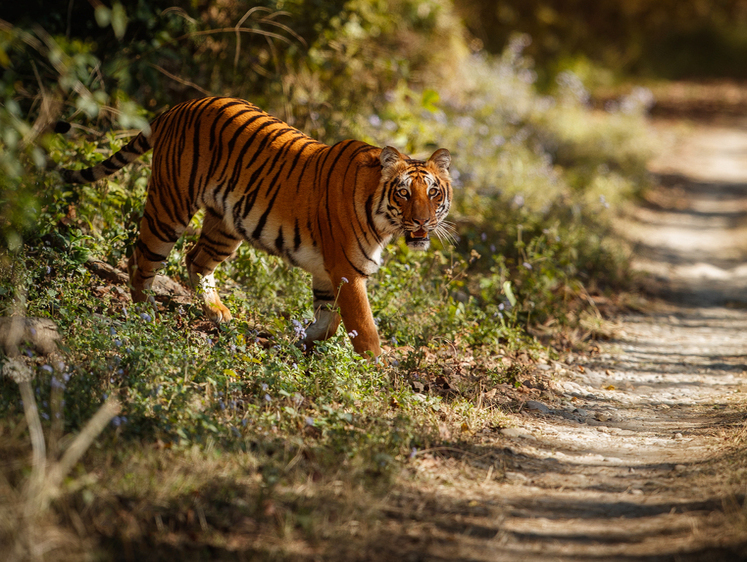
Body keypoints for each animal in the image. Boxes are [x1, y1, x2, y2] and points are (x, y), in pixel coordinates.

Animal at [58, 95, 452, 354]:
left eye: (433, 193)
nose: (423, 220)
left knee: (195, 259)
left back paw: (218, 313)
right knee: (141, 260)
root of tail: (180, 106)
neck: (383, 221)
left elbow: (329, 322)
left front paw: (302, 343)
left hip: (226, 225)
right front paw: (378, 376)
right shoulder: (347, 271)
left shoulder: (328, 273)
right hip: (170, 207)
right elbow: (365, 330)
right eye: (403, 193)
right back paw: (146, 315)